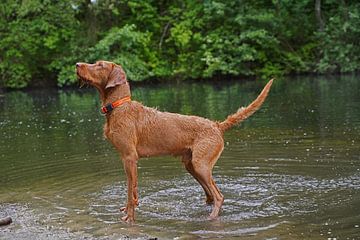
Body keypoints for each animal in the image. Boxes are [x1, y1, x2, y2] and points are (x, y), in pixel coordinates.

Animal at [76, 60, 272, 223]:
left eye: (100, 65)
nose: (77, 64)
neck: (119, 107)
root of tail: (216, 125)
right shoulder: (127, 160)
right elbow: (131, 191)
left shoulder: (129, 157)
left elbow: (130, 191)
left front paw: (129, 217)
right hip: (192, 165)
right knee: (211, 194)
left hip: (201, 165)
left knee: (219, 196)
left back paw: (211, 218)